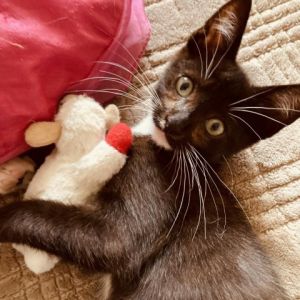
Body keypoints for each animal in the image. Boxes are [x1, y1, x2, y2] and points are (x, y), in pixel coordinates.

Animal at [0, 0, 300, 298]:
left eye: (215, 127)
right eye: (184, 85)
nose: (174, 122)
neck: (164, 147)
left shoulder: (125, 230)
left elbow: (47, 217)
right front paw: (16, 166)